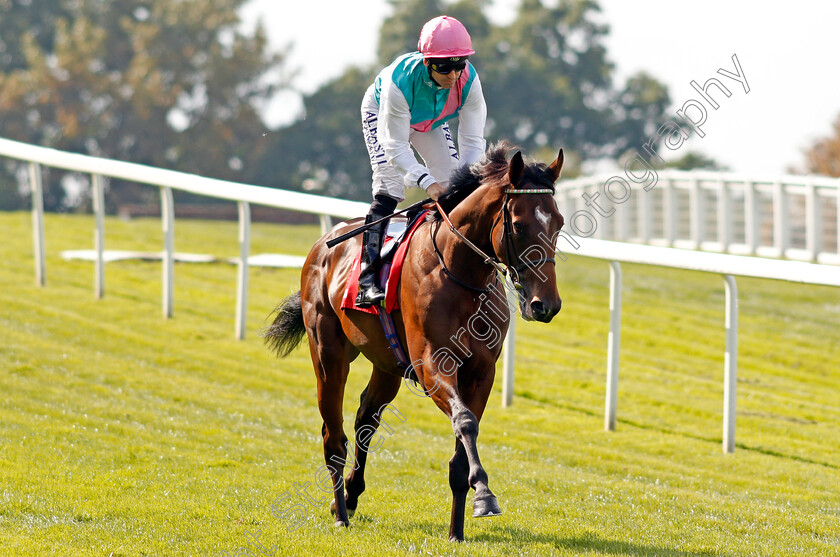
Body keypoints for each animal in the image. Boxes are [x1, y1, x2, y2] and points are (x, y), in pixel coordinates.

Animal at [266, 141, 568, 540]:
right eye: (518, 225)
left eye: (559, 222)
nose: (545, 305)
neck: (461, 273)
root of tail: (323, 245)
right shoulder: (432, 365)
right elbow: (465, 421)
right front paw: (485, 496)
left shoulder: (481, 372)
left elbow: (462, 443)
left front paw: (457, 530)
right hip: (328, 354)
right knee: (333, 434)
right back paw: (340, 513)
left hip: (386, 363)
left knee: (366, 417)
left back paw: (350, 495)